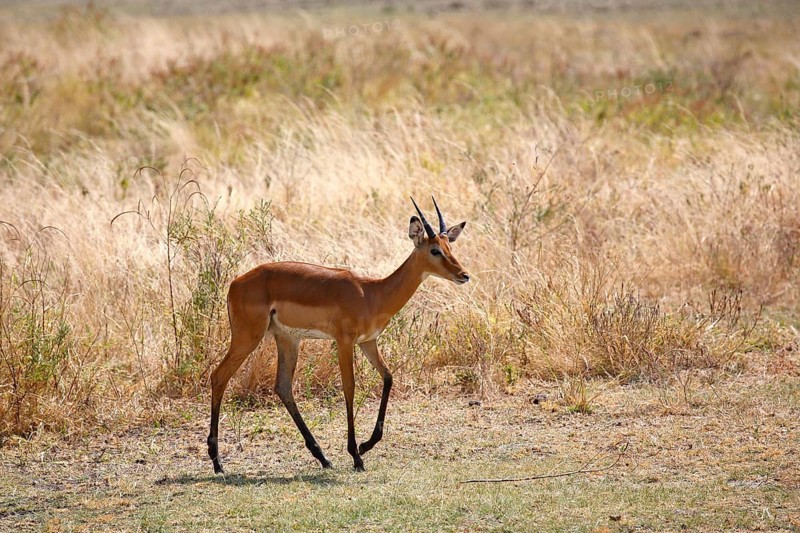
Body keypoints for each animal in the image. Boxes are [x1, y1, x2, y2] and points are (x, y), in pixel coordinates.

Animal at [207, 197, 469, 473]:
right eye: (434, 250)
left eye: (449, 246)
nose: (464, 275)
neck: (373, 293)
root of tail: (234, 284)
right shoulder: (344, 342)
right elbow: (349, 387)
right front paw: (356, 455)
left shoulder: (368, 342)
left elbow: (388, 378)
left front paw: (365, 445)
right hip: (248, 337)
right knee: (219, 377)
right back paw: (217, 462)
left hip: (288, 339)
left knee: (283, 386)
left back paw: (322, 457)